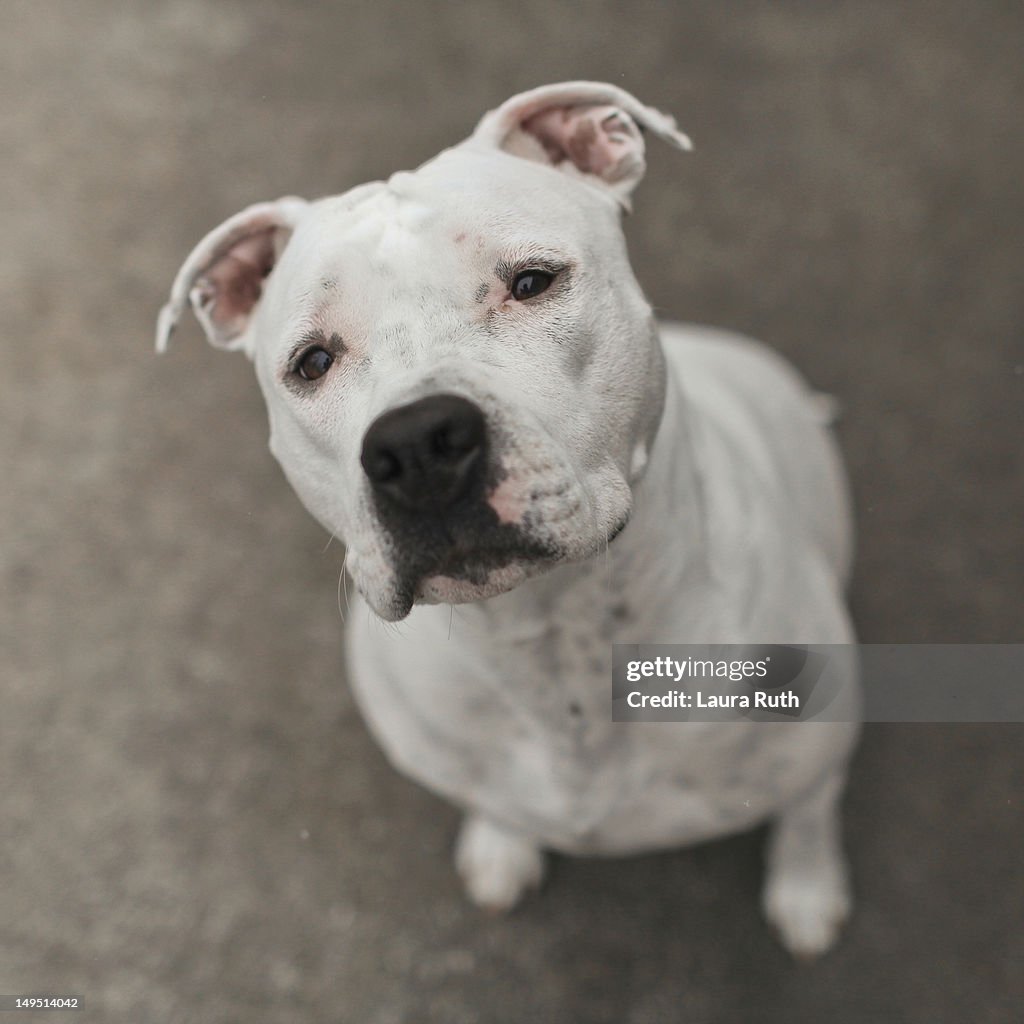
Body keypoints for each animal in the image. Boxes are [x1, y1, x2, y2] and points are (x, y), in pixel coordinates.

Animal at [159, 83, 860, 954]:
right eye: (312, 363)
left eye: (532, 282)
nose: (415, 445)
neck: (554, 643)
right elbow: (492, 800)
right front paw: (500, 848)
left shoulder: (820, 748)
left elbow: (807, 817)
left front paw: (807, 894)